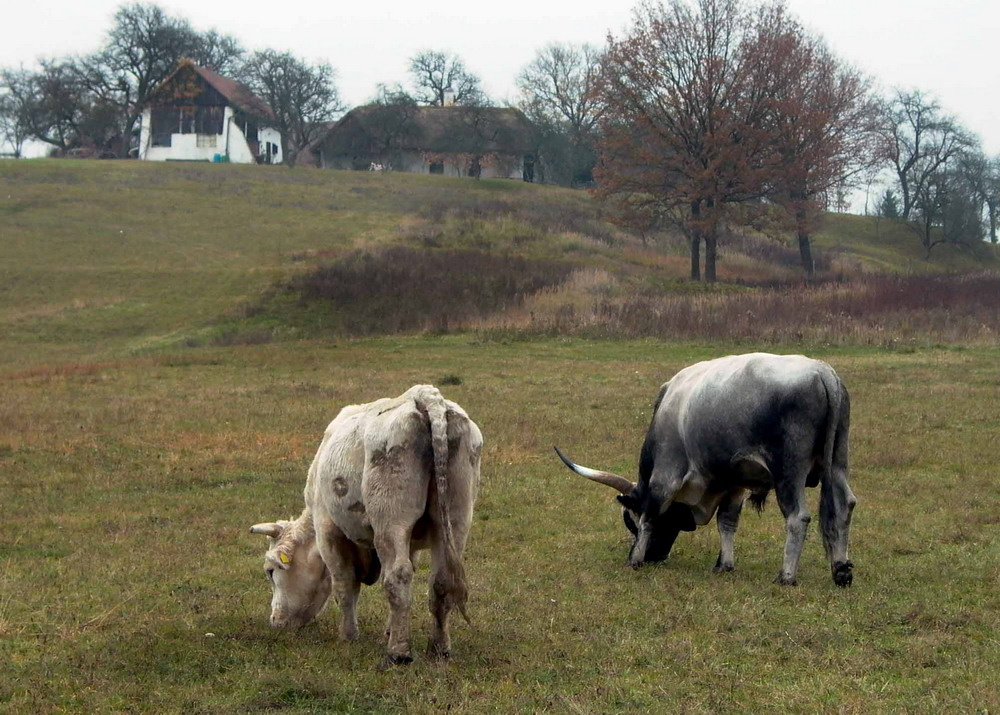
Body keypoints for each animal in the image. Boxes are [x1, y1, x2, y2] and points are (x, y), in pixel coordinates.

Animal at [252, 386, 482, 664]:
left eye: (270, 571)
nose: (276, 620)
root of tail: (426, 398)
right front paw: (389, 629)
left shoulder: (329, 532)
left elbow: (344, 586)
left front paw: (348, 635)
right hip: (455, 519)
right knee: (440, 581)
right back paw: (439, 648)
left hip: (390, 520)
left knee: (397, 577)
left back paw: (399, 652)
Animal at [560, 352, 856, 588]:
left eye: (629, 521)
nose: (655, 557)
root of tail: (821, 371)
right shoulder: (733, 484)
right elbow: (727, 522)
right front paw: (724, 564)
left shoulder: (665, 476)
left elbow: (650, 516)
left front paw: (635, 559)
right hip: (837, 463)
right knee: (845, 504)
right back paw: (841, 570)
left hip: (788, 472)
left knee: (798, 517)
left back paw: (786, 576)